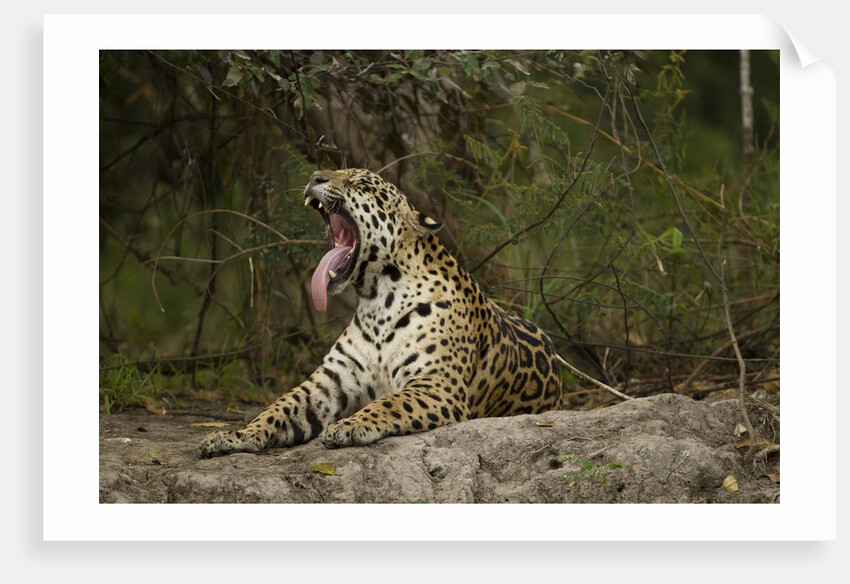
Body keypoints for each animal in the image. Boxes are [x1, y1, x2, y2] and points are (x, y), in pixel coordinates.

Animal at [199, 168, 562, 456]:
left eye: (361, 183)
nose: (314, 177)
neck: (378, 300)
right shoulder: (329, 382)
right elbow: (277, 408)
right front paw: (234, 436)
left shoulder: (437, 384)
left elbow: (390, 403)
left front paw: (348, 426)